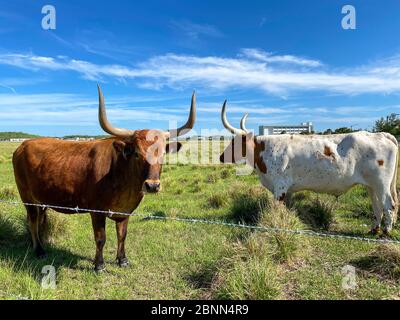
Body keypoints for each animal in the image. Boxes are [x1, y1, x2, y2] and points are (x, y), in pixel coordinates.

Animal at [14, 86, 197, 272]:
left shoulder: (125, 211)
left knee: (40, 220)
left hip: (42, 199)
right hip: (27, 197)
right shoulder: (97, 211)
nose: (152, 186)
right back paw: (39, 250)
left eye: (162, 154)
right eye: (137, 153)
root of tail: (23, 145)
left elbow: (122, 235)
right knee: (32, 221)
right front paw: (99, 265)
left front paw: (122, 259)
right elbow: (101, 238)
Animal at [220, 101, 398, 236]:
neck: (264, 150)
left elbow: (277, 209)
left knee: (389, 205)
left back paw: (386, 232)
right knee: (377, 206)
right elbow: (286, 209)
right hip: (371, 185)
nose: (221, 157)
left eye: (235, 142)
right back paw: (374, 230)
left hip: (382, 184)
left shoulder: (280, 187)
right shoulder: (288, 190)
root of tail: (381, 134)